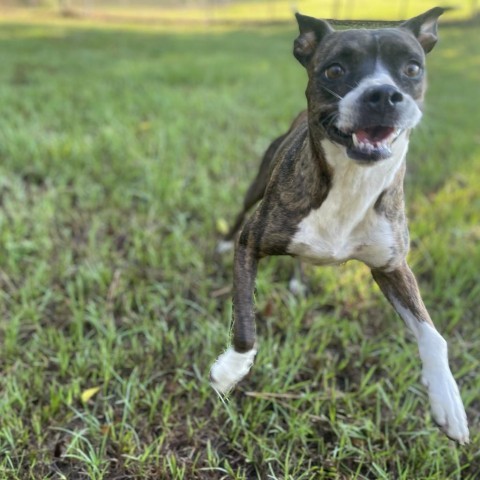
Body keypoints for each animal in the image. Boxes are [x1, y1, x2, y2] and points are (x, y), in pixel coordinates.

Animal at [210, 7, 468, 444]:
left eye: (412, 68)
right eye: (334, 70)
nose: (383, 95)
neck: (352, 179)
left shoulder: (392, 266)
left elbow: (433, 335)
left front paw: (449, 401)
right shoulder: (252, 244)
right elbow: (245, 323)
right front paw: (231, 370)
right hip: (257, 185)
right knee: (241, 214)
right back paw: (224, 245)